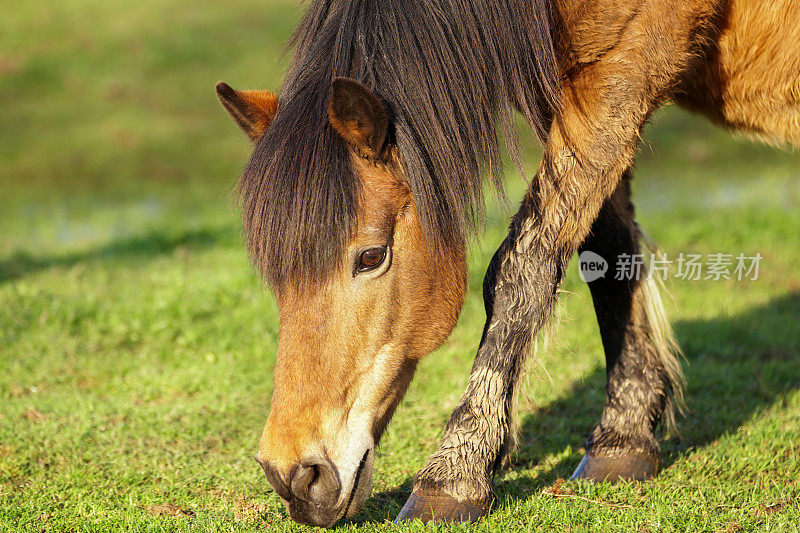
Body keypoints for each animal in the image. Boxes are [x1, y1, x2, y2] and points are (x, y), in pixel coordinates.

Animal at [214, 0, 800, 524]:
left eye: (371, 256)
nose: (293, 477)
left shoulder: (630, 63)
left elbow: (523, 268)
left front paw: (453, 476)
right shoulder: (570, 90)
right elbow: (607, 251)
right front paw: (624, 436)